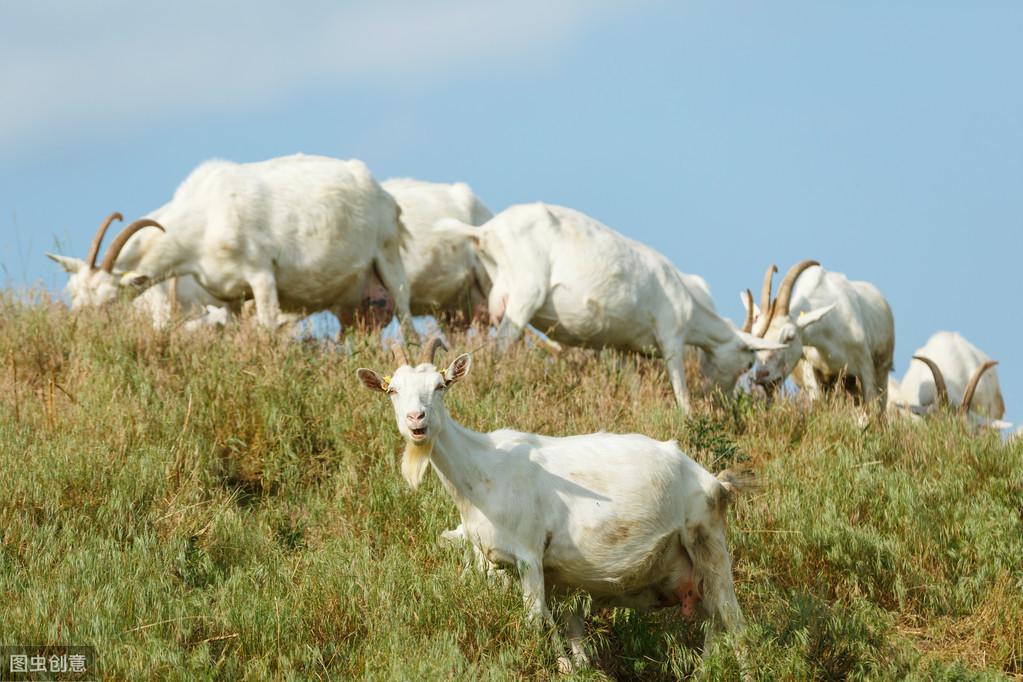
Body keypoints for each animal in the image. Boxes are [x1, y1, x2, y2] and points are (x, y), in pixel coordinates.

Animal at [43, 154, 411, 335]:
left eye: (109, 301)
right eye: (73, 293)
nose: (78, 330)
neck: (204, 219)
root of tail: (384, 194)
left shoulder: (262, 276)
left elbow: (266, 330)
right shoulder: (228, 297)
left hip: (389, 258)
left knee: (408, 326)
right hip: (353, 304)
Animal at [358, 343, 752, 670]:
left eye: (441, 385)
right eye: (392, 390)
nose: (416, 420)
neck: (483, 470)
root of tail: (713, 480)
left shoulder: (529, 554)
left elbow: (536, 623)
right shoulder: (501, 564)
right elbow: (561, 632)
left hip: (707, 540)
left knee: (735, 624)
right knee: (714, 626)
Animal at [439, 202, 781, 413]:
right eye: (748, 363)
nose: (720, 400)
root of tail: (485, 232)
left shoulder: (624, 348)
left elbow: (632, 384)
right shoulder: (671, 335)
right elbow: (680, 389)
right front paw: (690, 417)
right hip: (525, 295)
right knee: (501, 347)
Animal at [744, 261, 896, 404]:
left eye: (789, 337)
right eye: (756, 341)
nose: (762, 375)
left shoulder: (865, 368)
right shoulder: (811, 370)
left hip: (881, 372)